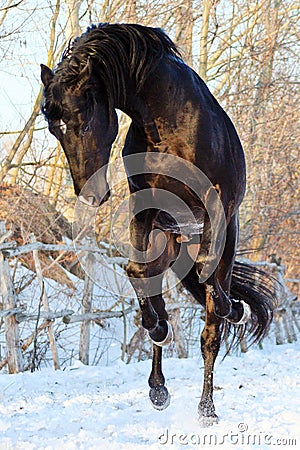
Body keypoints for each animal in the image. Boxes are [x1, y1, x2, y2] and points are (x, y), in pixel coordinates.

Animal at [41, 23, 278, 426]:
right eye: (54, 130)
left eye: (83, 121)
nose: (89, 196)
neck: (172, 119)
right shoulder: (145, 205)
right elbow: (136, 273)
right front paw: (159, 330)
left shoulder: (214, 206)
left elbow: (210, 294)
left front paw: (232, 311)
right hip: (166, 244)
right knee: (157, 289)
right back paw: (158, 385)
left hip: (223, 239)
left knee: (212, 319)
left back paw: (207, 406)